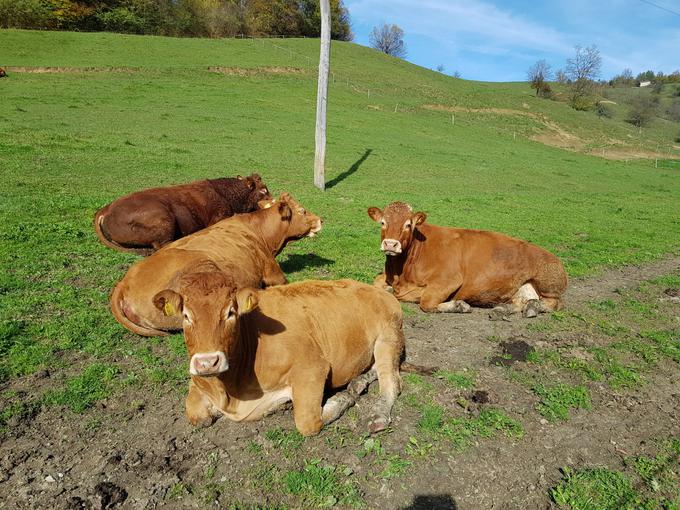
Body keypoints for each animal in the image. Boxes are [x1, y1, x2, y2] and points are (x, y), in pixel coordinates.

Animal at [93, 174, 274, 255]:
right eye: (263, 190)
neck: (225, 194)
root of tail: (107, 208)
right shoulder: (219, 217)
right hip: (163, 218)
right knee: (162, 244)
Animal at [153, 276, 404, 436]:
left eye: (230, 312)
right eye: (186, 316)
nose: (207, 362)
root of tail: (378, 289)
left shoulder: (312, 367)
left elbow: (307, 422)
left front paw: (340, 399)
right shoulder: (198, 380)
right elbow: (196, 414)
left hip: (388, 336)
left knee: (391, 382)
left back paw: (378, 415)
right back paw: (358, 383)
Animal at [366, 202, 568, 318]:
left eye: (408, 224)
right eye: (383, 222)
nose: (390, 244)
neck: (402, 272)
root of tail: (555, 258)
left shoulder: (449, 279)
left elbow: (427, 302)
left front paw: (459, 305)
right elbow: (376, 282)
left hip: (547, 283)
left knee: (555, 304)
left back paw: (533, 308)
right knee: (520, 301)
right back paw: (502, 309)